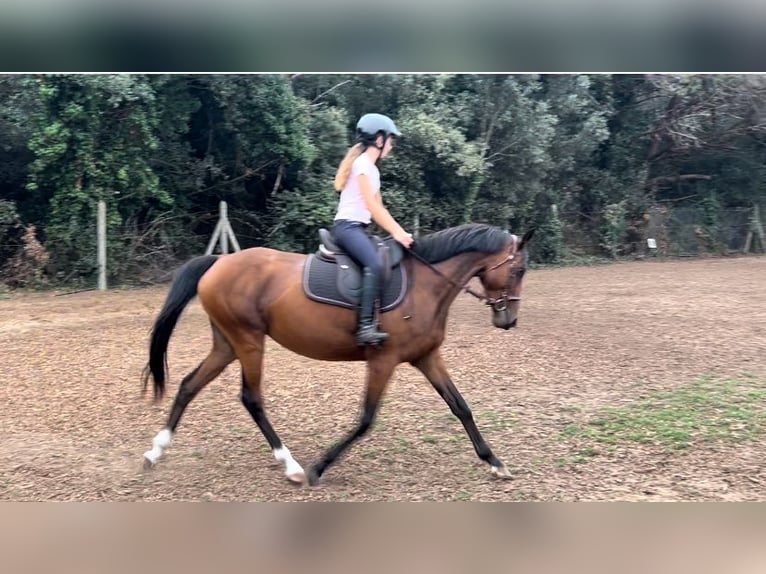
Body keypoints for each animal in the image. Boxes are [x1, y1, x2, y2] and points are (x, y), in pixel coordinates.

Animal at [141, 223, 534, 486]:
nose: (509, 320)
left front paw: (495, 462)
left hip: (227, 344)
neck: (425, 285)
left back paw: (155, 451)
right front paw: (320, 467)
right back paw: (292, 466)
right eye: (518, 269)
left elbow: (461, 407)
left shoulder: (427, 357)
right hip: (249, 341)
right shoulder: (383, 361)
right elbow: (366, 419)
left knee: (189, 385)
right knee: (251, 398)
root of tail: (218, 262)